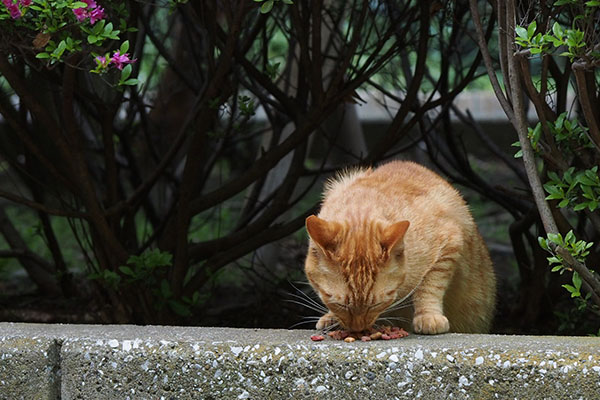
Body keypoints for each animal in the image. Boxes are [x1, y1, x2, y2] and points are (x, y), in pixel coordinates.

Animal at [304, 161, 496, 332]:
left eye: (376, 304)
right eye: (339, 304)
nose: (357, 329)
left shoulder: (449, 244)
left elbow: (429, 286)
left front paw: (428, 316)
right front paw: (331, 317)